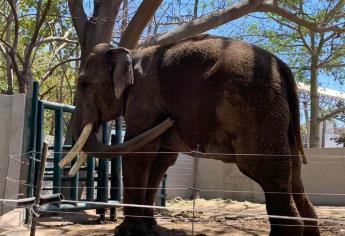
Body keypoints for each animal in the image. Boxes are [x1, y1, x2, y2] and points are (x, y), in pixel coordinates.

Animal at [59, 34, 320, 235]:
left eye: (83, 84)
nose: (172, 118)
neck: (129, 52)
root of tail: (283, 68)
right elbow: (160, 162)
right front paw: (149, 227)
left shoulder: (144, 100)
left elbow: (140, 154)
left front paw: (126, 232)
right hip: (277, 119)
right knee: (294, 175)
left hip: (257, 111)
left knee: (266, 171)